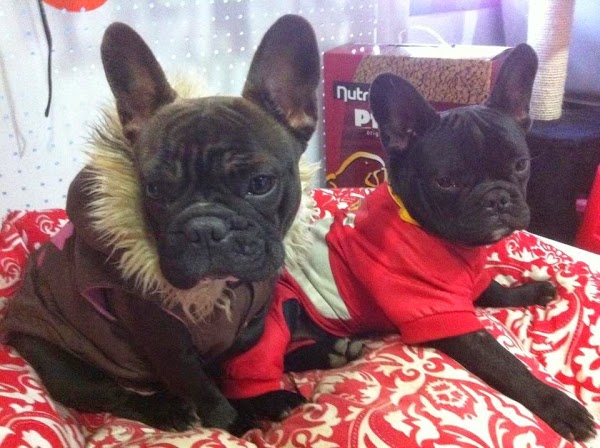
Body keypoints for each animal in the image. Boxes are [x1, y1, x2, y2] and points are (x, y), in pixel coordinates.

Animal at [0, 15, 320, 434]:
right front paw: (236, 426)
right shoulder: (168, 345)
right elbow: (207, 394)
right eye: (154, 188)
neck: (220, 294)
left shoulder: (242, 333)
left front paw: (257, 401)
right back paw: (168, 410)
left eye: (260, 183)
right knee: (113, 395)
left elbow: (222, 376)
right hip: (63, 362)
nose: (204, 228)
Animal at [221, 43, 596, 441]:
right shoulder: (443, 316)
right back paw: (276, 402)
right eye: (446, 182)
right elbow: (505, 363)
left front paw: (530, 291)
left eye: (521, 164)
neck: (438, 236)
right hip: (270, 321)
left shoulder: (465, 286)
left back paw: (335, 352)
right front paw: (559, 406)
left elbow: (493, 288)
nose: (497, 198)